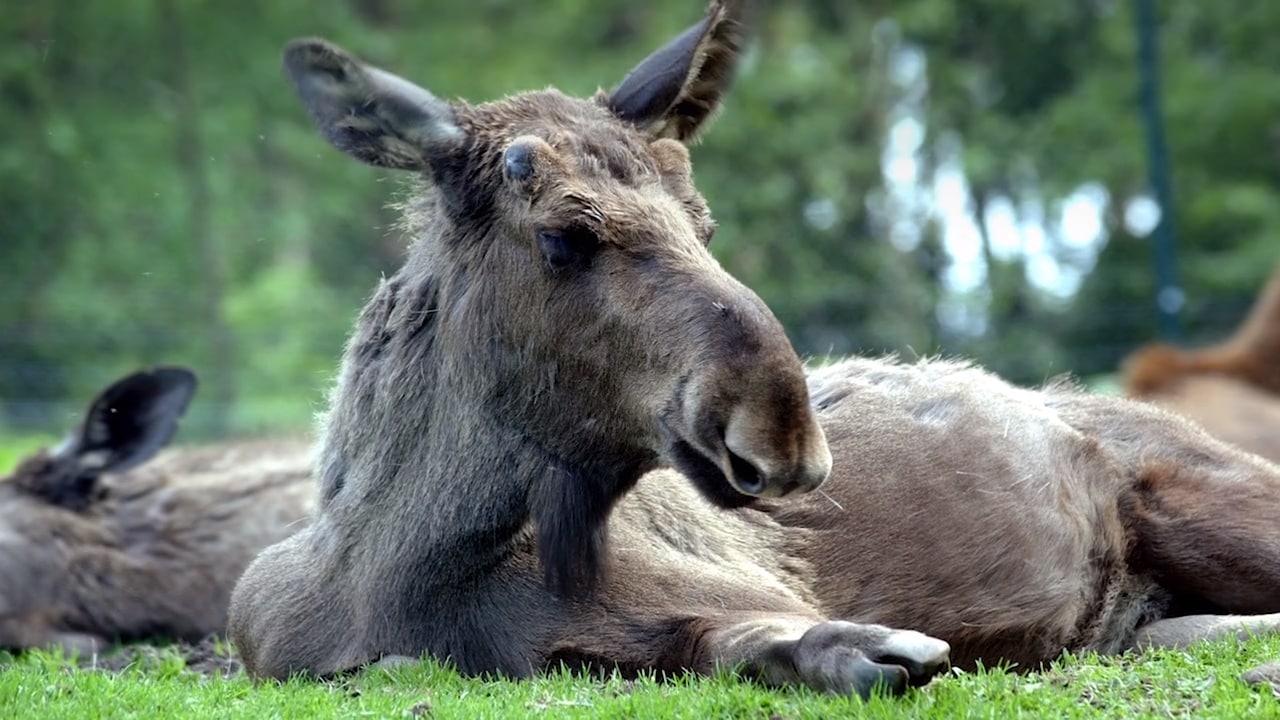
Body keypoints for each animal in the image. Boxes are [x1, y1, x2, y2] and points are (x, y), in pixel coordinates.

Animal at [227, 0, 1280, 696]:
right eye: (565, 235)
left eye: (703, 220)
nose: (786, 429)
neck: (400, 571)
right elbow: (722, 646)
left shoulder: (750, 582)